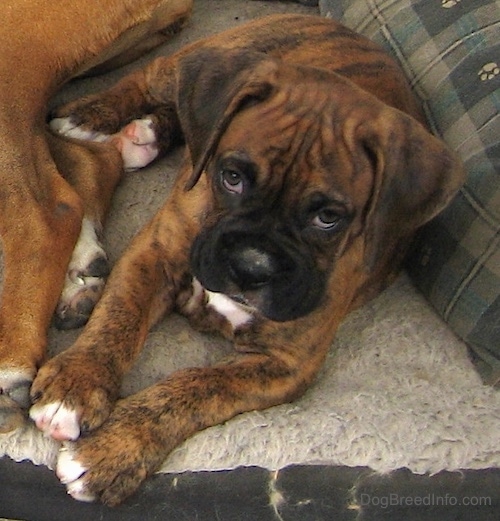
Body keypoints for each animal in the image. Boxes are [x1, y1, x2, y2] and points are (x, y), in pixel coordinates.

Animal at [29, 15, 462, 504]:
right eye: (231, 177)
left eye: (329, 217)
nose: (252, 266)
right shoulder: (152, 256)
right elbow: (115, 323)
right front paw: (76, 385)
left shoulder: (285, 364)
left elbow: (198, 387)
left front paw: (111, 451)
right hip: (200, 58)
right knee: (153, 80)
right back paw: (89, 116)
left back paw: (144, 137)